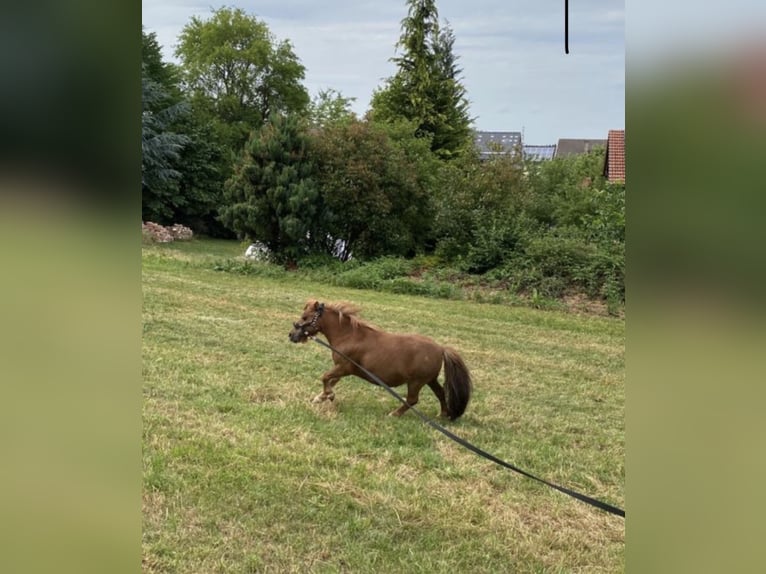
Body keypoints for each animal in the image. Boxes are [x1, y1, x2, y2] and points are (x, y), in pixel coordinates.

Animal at [288, 299, 472, 420]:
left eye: (305, 317)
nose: (292, 335)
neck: (349, 336)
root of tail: (441, 348)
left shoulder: (344, 367)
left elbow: (325, 377)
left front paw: (329, 396)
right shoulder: (342, 369)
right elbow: (331, 381)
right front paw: (321, 397)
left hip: (416, 382)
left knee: (412, 400)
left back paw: (394, 414)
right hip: (430, 379)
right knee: (440, 393)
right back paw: (442, 414)